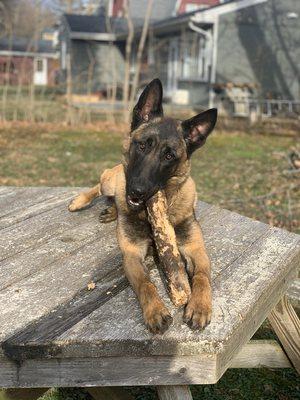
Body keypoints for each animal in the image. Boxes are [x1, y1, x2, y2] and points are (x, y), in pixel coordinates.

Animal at [69, 78, 217, 334]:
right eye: (142, 146)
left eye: (169, 156)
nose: (137, 191)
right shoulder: (132, 254)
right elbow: (146, 284)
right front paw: (155, 310)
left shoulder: (196, 248)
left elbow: (201, 276)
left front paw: (199, 305)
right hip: (111, 181)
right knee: (100, 184)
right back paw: (81, 201)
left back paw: (112, 211)